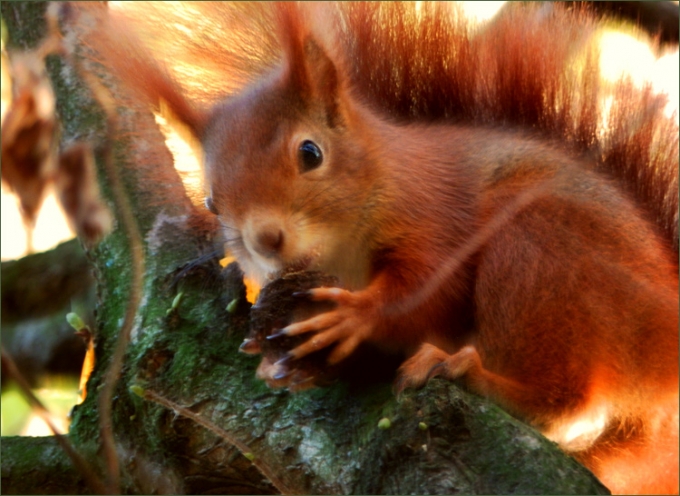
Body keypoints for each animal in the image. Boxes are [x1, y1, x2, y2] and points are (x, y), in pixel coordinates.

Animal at [71, 3, 678, 494]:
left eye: (310, 153)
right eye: (211, 202)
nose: (266, 240)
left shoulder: (437, 216)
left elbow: (429, 291)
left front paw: (355, 318)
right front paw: (283, 363)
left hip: (543, 248)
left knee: (565, 400)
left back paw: (467, 372)